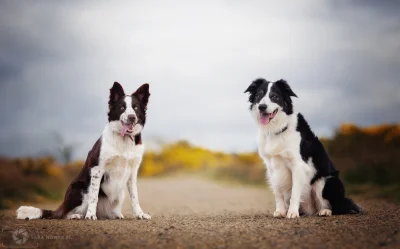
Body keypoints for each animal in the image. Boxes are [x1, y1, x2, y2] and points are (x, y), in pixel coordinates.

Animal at [16, 82, 152, 220]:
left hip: (119, 194)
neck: (124, 139)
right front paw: (90, 215)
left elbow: (135, 196)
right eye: (122, 108)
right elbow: (94, 197)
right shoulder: (97, 169)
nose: (132, 117)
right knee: (64, 213)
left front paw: (140, 214)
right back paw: (75, 215)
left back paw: (115, 214)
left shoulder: (132, 172)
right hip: (79, 188)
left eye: (135, 108)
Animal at [244, 78, 362, 218]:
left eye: (274, 97)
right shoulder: (272, 167)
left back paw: (325, 211)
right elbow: (278, 193)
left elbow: (295, 192)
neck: (277, 129)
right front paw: (281, 211)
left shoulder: (298, 165)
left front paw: (292, 213)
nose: (262, 107)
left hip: (324, 181)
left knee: (332, 205)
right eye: (259, 96)